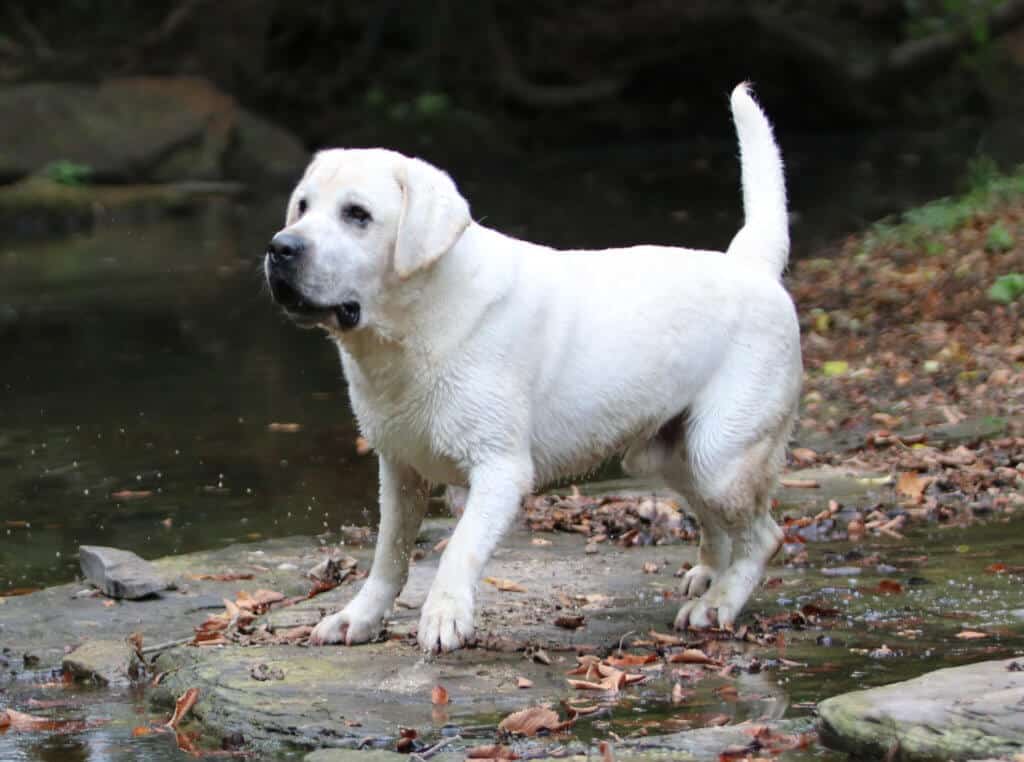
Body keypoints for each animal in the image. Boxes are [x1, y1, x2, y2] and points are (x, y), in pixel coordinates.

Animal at [262, 85, 798, 655]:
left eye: (357, 215)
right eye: (302, 206)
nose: (281, 247)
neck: (415, 328)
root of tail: (750, 265)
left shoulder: (500, 470)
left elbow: (459, 549)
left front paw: (444, 616)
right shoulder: (399, 469)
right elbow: (389, 555)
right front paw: (358, 618)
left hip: (720, 456)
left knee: (765, 536)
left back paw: (719, 603)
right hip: (667, 455)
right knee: (717, 522)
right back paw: (709, 576)